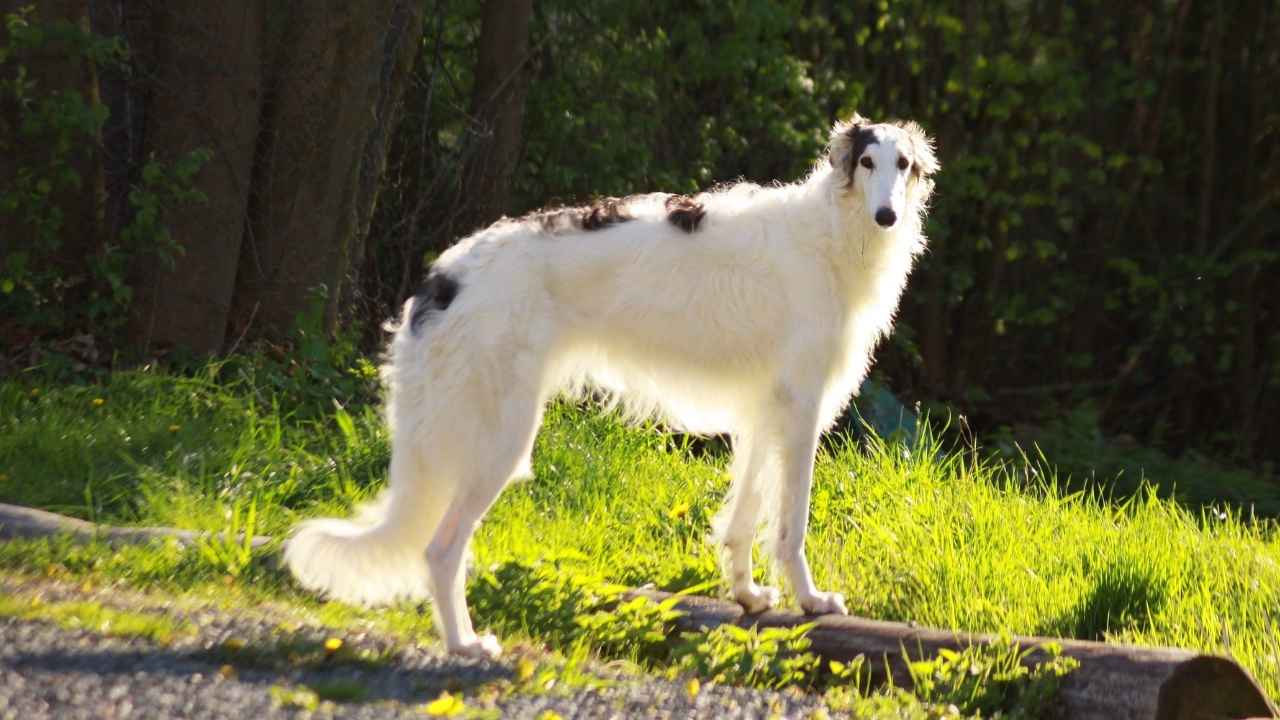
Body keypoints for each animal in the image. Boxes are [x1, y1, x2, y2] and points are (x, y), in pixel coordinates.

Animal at [282, 113, 942, 655]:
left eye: (904, 165)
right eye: (867, 161)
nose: (887, 215)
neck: (830, 234)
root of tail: (444, 277)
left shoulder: (765, 412)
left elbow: (742, 520)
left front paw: (749, 595)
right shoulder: (801, 409)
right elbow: (790, 526)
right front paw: (811, 601)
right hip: (500, 440)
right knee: (439, 550)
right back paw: (466, 645)